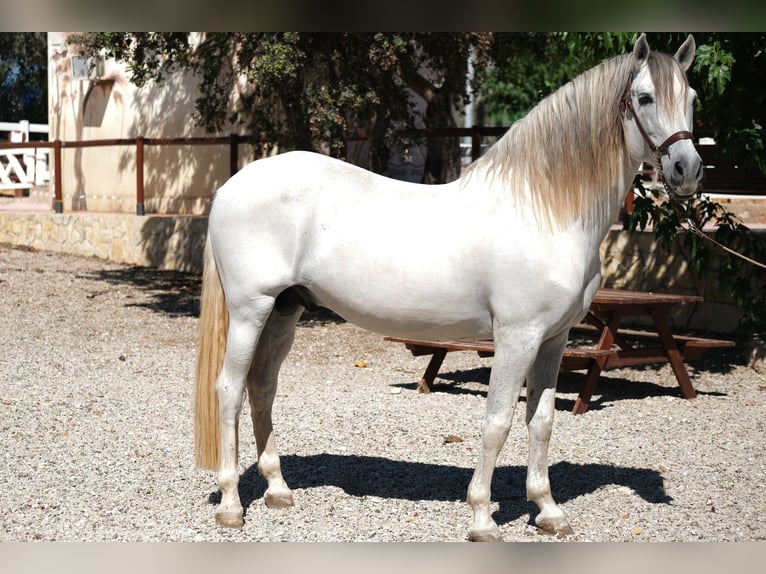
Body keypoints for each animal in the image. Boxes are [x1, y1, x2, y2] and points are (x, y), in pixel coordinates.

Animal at [194, 33, 704, 544]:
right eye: (645, 98)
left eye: (693, 99)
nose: (687, 170)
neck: (544, 211)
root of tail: (231, 186)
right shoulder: (517, 337)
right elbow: (498, 421)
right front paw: (482, 518)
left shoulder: (554, 340)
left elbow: (541, 421)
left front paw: (548, 511)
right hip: (251, 310)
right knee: (230, 389)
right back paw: (231, 504)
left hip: (285, 310)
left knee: (262, 386)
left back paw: (278, 490)